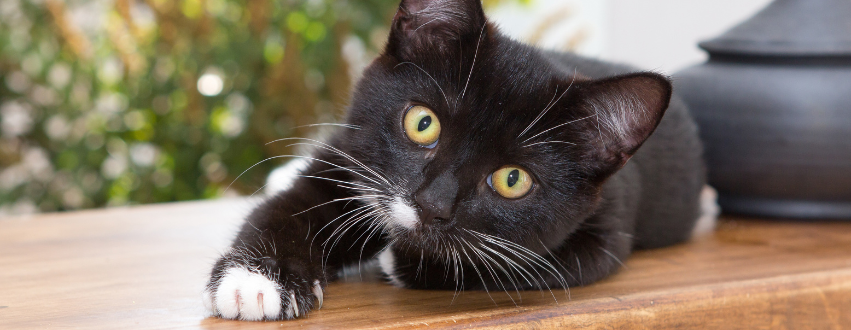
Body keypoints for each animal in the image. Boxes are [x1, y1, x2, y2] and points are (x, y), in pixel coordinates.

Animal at [203, 0, 708, 320]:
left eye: (512, 179)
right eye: (423, 123)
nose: (432, 204)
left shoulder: (607, 228)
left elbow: (521, 265)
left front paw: (394, 261)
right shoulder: (345, 157)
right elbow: (289, 205)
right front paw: (255, 281)